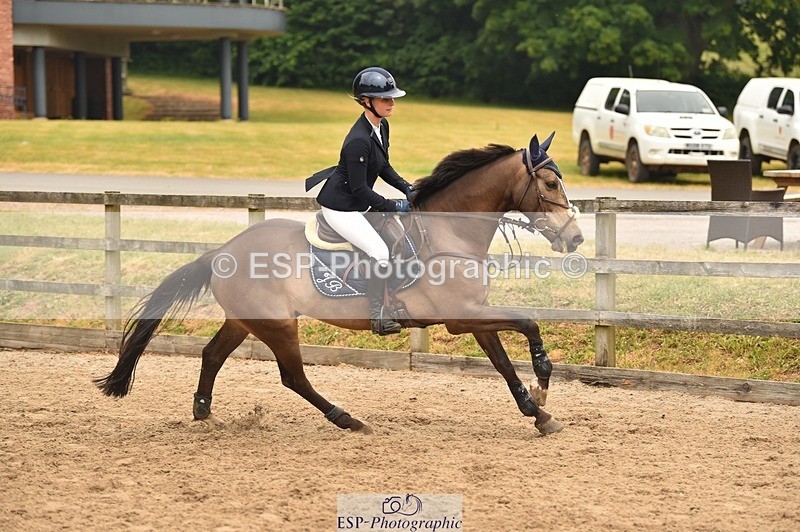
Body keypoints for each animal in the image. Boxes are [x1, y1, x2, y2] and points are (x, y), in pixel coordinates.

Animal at [94, 132, 584, 436]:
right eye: (549, 183)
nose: (576, 238)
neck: (451, 233)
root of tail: (222, 252)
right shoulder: (461, 318)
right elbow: (528, 323)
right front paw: (543, 381)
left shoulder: (476, 318)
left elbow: (502, 363)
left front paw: (538, 413)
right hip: (278, 325)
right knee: (293, 376)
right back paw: (347, 419)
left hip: (247, 320)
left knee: (213, 354)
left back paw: (204, 414)